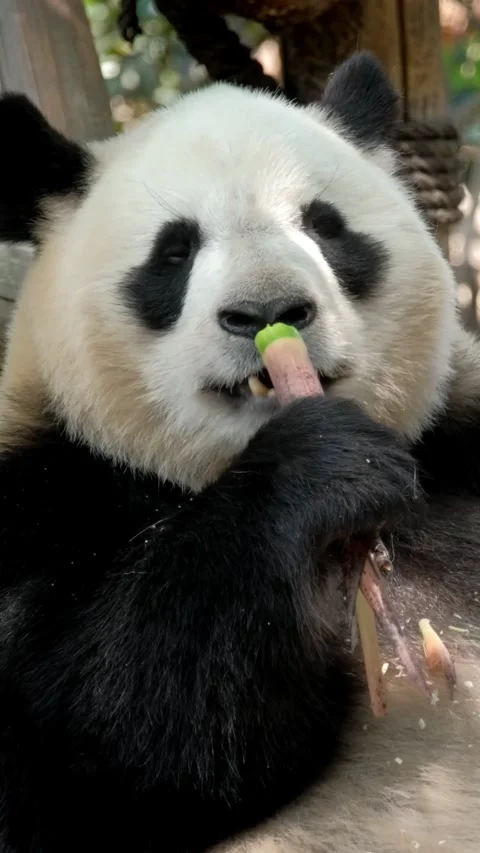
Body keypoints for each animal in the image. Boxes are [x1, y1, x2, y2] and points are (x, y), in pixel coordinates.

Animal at [0, 50, 479, 853]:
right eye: (175, 250)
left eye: (323, 225)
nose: (267, 311)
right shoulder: (40, 491)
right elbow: (97, 735)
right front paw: (324, 467)